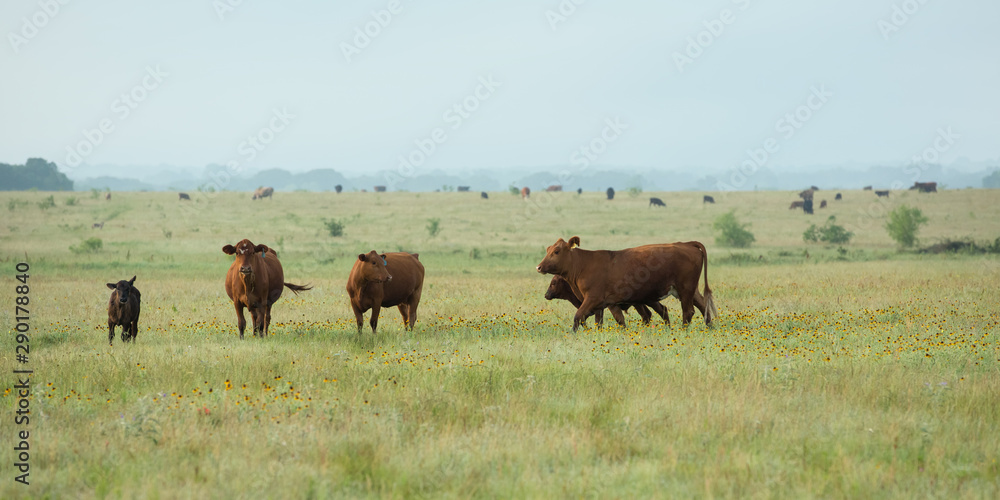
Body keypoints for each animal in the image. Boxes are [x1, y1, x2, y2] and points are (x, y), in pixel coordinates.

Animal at [540, 236, 720, 330]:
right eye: (548, 250)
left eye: (556, 251)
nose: (539, 267)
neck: (584, 265)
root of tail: (686, 244)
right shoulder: (600, 305)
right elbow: (597, 321)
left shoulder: (596, 299)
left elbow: (579, 316)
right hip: (688, 290)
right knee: (702, 305)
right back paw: (709, 327)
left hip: (685, 289)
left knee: (688, 312)